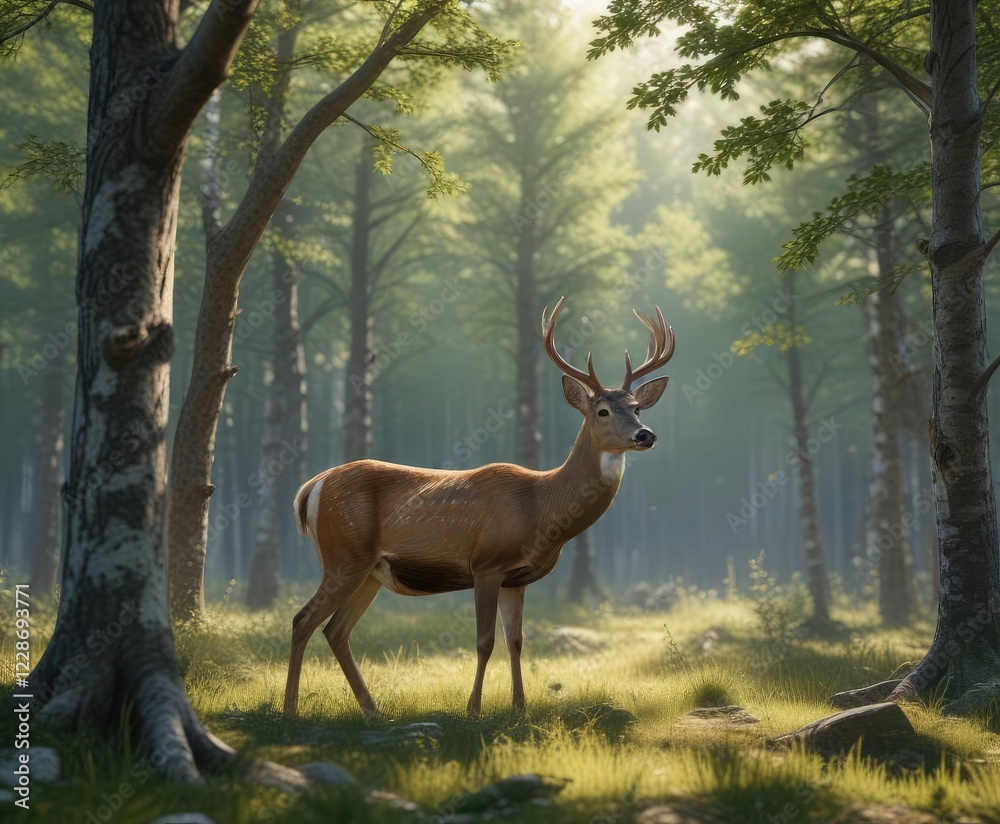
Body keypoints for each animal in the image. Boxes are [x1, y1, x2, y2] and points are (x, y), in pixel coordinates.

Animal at [284, 297, 675, 719]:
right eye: (602, 411)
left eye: (637, 409)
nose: (646, 435)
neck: (540, 508)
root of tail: (311, 488)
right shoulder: (486, 563)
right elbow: (485, 642)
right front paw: (473, 709)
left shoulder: (516, 579)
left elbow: (516, 640)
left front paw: (519, 707)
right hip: (344, 556)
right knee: (302, 620)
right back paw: (289, 709)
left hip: (370, 570)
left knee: (335, 631)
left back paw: (372, 711)